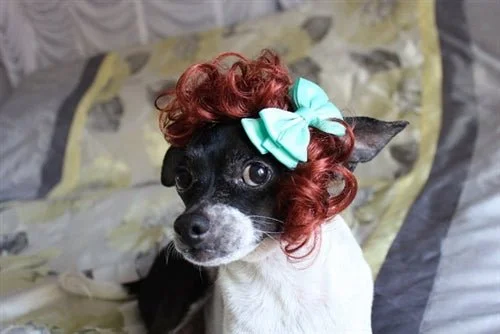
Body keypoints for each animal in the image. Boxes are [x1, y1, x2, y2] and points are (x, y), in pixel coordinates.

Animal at [61, 116, 406, 332]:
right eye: (183, 178)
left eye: (258, 172)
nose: (185, 227)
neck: (281, 271)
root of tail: (147, 277)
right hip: (187, 287)